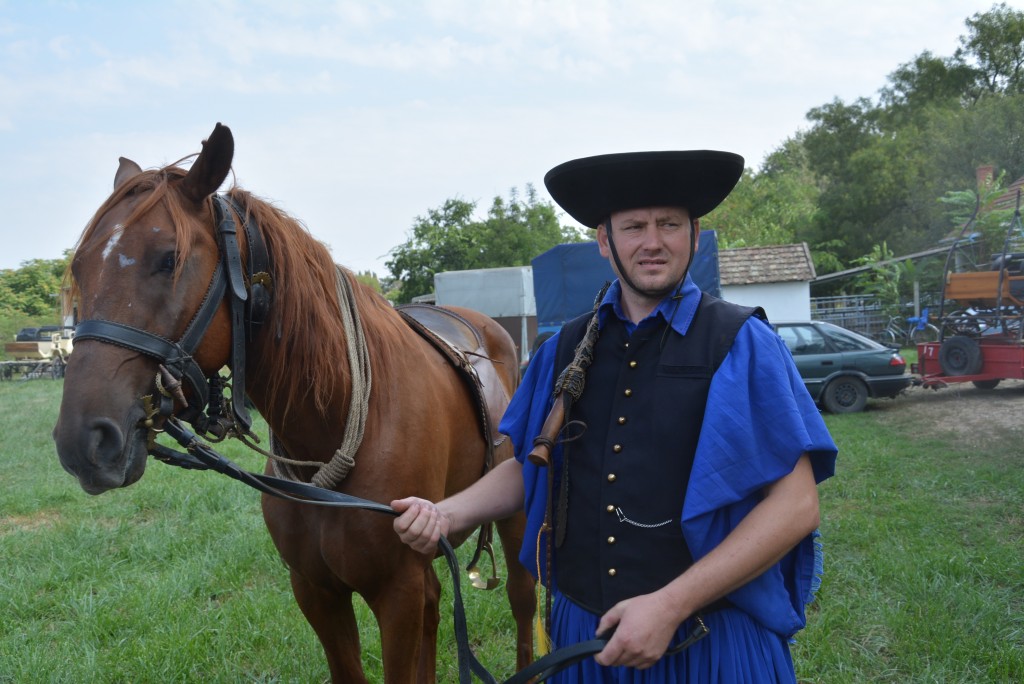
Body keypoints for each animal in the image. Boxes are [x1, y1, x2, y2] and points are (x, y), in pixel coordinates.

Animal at [52, 124, 536, 684]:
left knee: (524, 601)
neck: (339, 422)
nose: (85, 440)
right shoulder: (315, 590)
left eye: (168, 259)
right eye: (80, 268)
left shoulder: (397, 592)